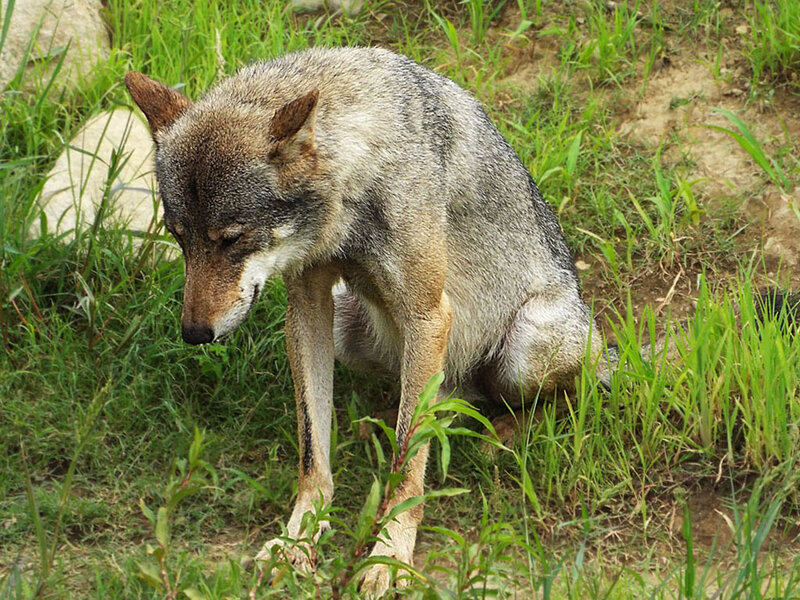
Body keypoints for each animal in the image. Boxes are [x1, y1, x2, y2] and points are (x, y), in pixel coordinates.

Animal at [125, 46, 610, 594]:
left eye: (232, 238)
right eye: (178, 237)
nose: (193, 334)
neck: (359, 167)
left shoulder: (428, 314)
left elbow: (405, 467)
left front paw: (387, 556)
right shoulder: (308, 307)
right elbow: (313, 451)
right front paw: (297, 540)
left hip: (526, 347)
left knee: (556, 398)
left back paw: (502, 432)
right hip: (348, 326)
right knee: (431, 401)